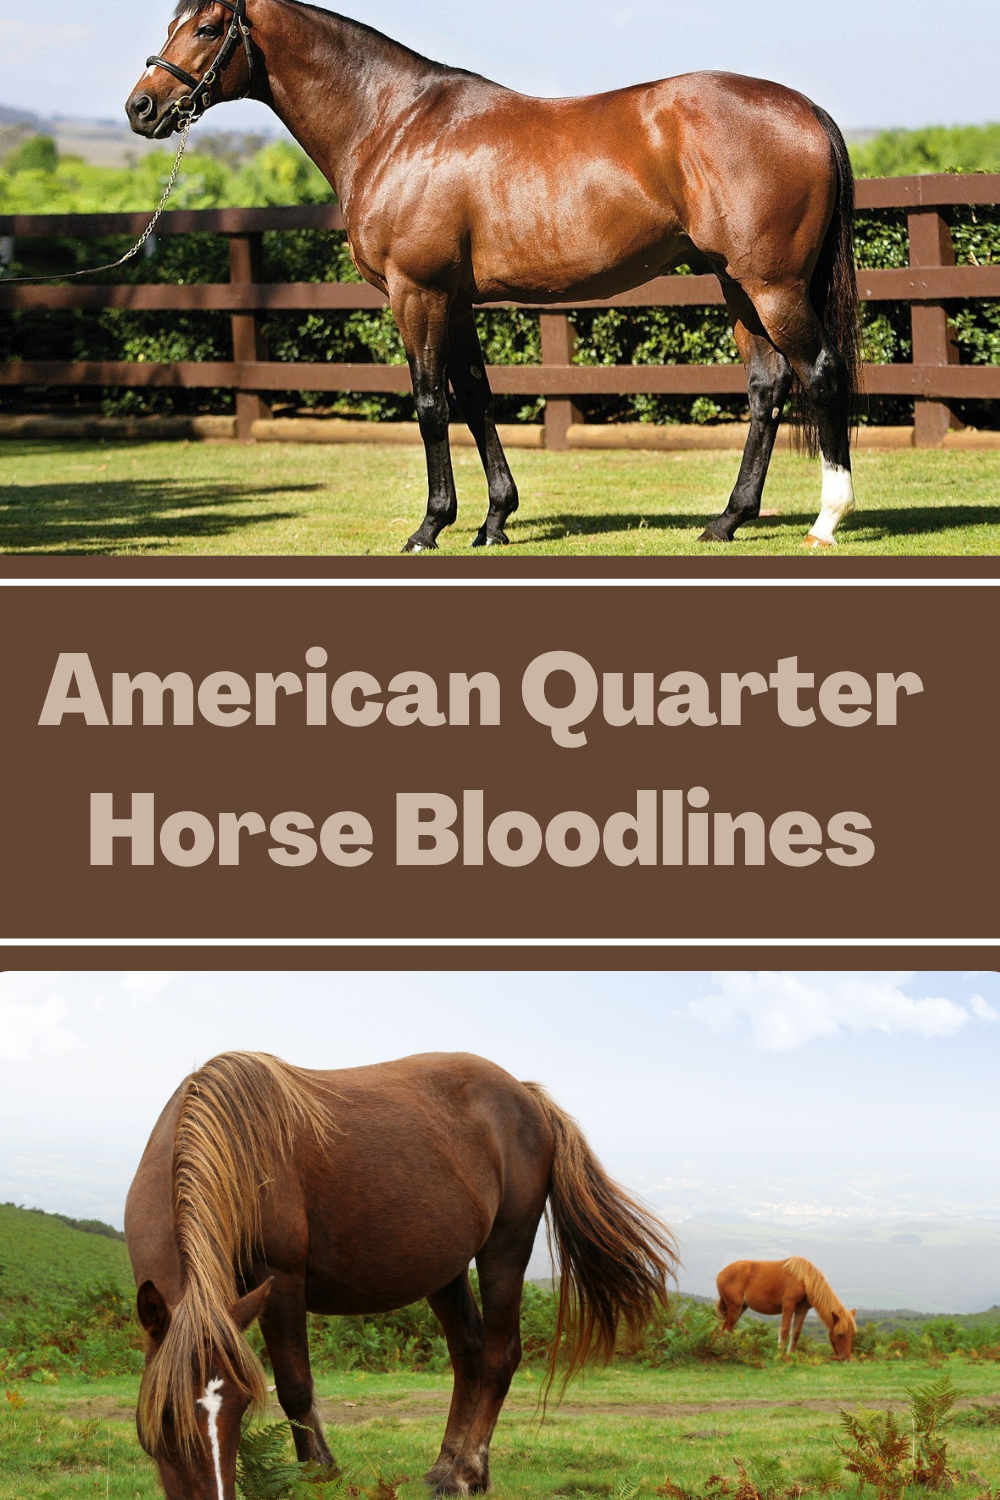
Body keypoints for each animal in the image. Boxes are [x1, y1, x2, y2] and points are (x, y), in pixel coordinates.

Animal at [125, 1050, 677, 1499]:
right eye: (166, 1415)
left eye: (241, 1406)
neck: (235, 1149)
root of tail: (527, 1095)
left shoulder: (280, 1280)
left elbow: (295, 1385)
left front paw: (319, 1474)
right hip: (445, 1270)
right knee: (469, 1354)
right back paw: (450, 1467)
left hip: (506, 1247)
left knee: (499, 1355)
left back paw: (463, 1474)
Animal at [126, 0, 860, 554]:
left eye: (208, 27)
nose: (142, 107)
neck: (393, 124)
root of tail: (807, 111)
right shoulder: (454, 302)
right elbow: (476, 398)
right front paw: (494, 521)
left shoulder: (416, 293)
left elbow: (430, 403)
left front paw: (429, 526)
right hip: (737, 284)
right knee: (767, 387)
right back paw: (727, 521)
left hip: (772, 285)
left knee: (822, 373)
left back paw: (826, 520)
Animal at [716, 1256, 857, 1359]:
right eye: (840, 1334)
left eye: (852, 1335)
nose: (846, 1358)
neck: (804, 1280)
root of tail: (720, 1274)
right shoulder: (788, 1306)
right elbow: (784, 1331)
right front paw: (779, 1356)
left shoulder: (802, 1310)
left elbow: (796, 1333)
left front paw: (790, 1356)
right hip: (735, 1307)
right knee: (728, 1329)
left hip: (741, 1308)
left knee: (724, 1329)